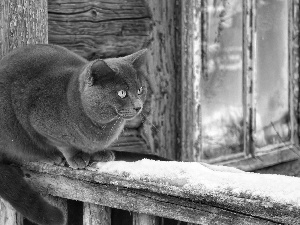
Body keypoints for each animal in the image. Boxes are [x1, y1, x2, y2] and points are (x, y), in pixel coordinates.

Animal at [0, 44, 149, 225]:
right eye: (122, 93)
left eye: (140, 90)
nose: (138, 106)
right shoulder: (40, 123)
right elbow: (64, 144)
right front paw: (76, 157)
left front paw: (100, 153)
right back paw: (51, 156)